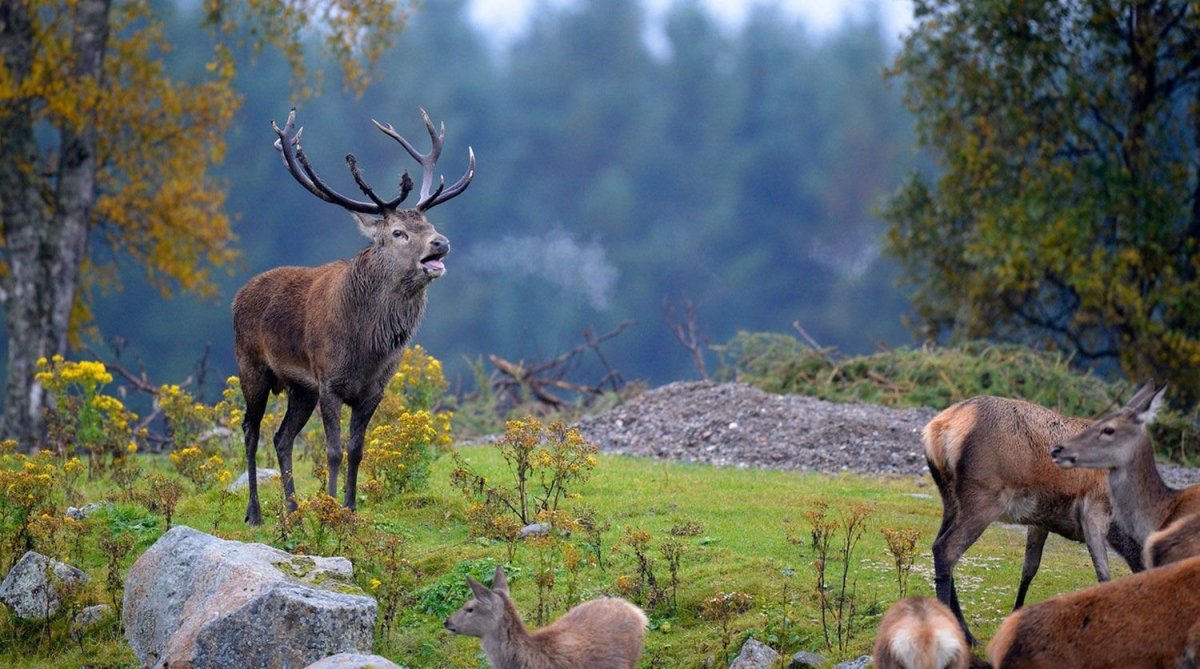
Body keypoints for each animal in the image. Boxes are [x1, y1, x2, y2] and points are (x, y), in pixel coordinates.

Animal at [233, 107, 474, 525]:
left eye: (429, 225)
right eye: (398, 232)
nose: (441, 242)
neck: (366, 348)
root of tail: (237, 296)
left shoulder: (373, 390)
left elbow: (357, 450)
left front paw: (350, 509)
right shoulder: (328, 380)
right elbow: (332, 450)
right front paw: (330, 509)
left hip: (300, 389)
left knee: (281, 437)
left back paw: (293, 510)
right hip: (253, 367)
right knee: (251, 430)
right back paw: (256, 513)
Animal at [923, 390, 1145, 645]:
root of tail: (940, 427)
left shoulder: (1041, 521)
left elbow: (1029, 569)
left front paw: (1016, 616)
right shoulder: (1094, 510)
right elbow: (1103, 575)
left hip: (950, 500)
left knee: (939, 545)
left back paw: (968, 635)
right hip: (983, 498)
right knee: (946, 549)